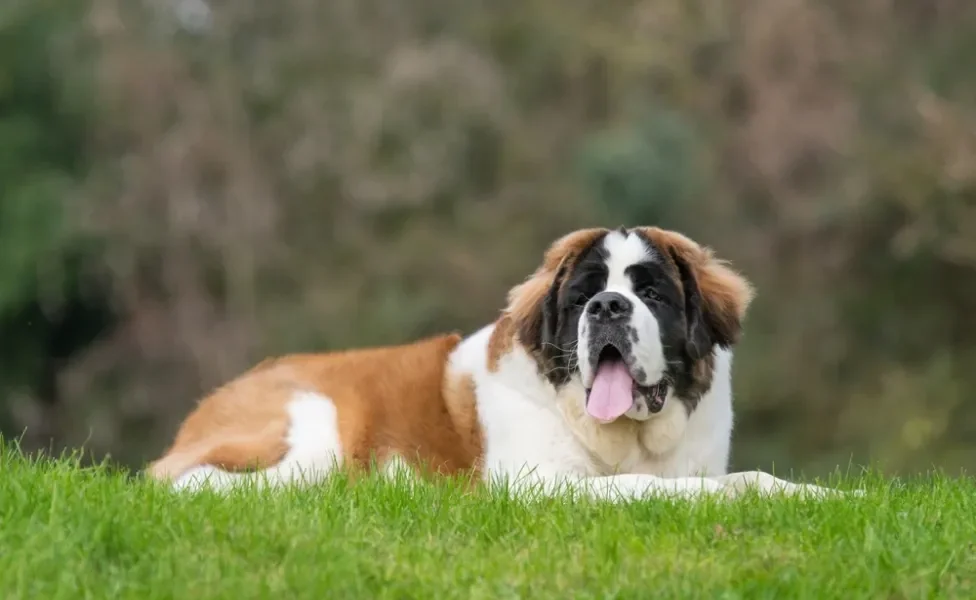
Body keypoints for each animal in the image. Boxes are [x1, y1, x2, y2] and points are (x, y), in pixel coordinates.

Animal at [149, 227, 844, 500]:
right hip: (313, 429)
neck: (628, 437)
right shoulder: (542, 485)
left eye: (650, 293)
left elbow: (756, 480)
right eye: (583, 295)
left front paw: (830, 493)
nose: (609, 305)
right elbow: (646, 488)